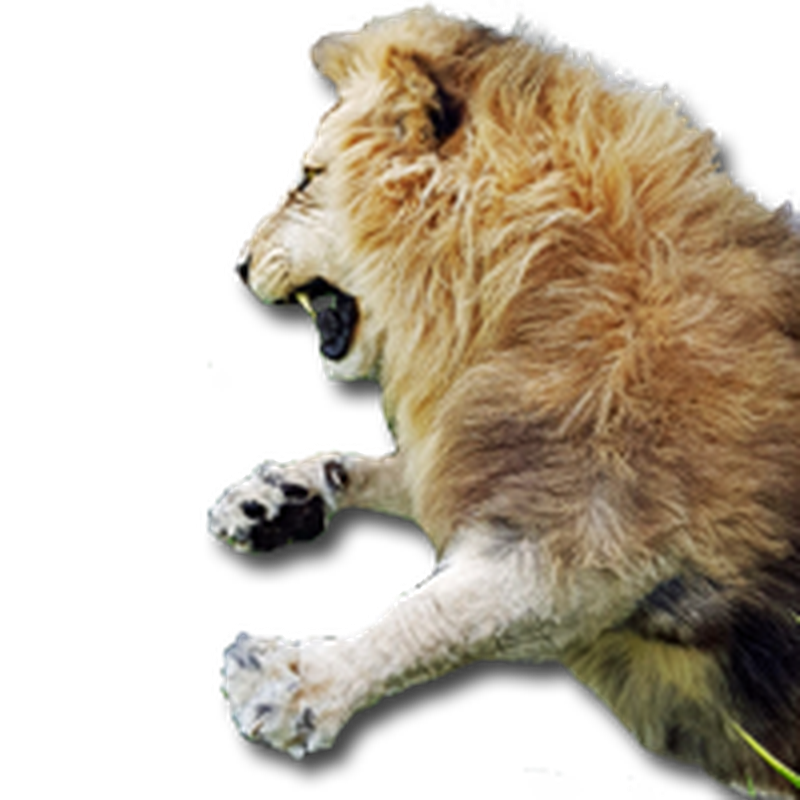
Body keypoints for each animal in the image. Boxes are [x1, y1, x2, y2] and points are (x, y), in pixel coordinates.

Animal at [209, 3, 799, 796]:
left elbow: (431, 617)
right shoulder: (485, 453)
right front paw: (278, 495)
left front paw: (299, 683)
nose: (237, 267)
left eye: (310, 179)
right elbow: (399, 477)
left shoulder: (596, 541)